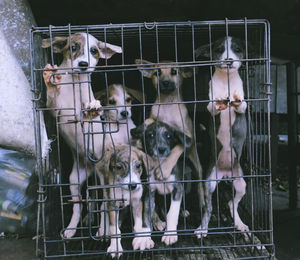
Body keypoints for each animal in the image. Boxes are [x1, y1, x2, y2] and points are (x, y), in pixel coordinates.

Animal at [41, 33, 122, 239]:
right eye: (73, 47)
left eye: (94, 51)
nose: (84, 64)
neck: (75, 83)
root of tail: (92, 169)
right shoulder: (55, 110)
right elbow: (52, 98)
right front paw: (50, 79)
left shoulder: (85, 120)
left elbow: (88, 114)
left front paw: (94, 107)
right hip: (74, 180)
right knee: (78, 206)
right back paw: (71, 228)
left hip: (103, 180)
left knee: (104, 204)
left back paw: (103, 229)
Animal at [135, 59, 204, 205]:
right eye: (157, 73)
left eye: (174, 72)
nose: (165, 82)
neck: (167, 104)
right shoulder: (154, 117)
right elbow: (149, 120)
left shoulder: (187, 137)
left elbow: (178, 148)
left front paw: (164, 169)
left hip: (197, 164)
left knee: (200, 184)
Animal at [195, 36, 248, 238]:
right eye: (219, 49)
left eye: (237, 49)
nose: (229, 60)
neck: (226, 81)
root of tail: (225, 174)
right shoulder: (209, 105)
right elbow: (212, 106)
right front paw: (220, 103)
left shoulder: (244, 106)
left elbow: (242, 105)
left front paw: (235, 100)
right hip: (209, 183)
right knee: (208, 208)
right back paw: (202, 229)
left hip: (241, 183)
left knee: (232, 203)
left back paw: (240, 224)